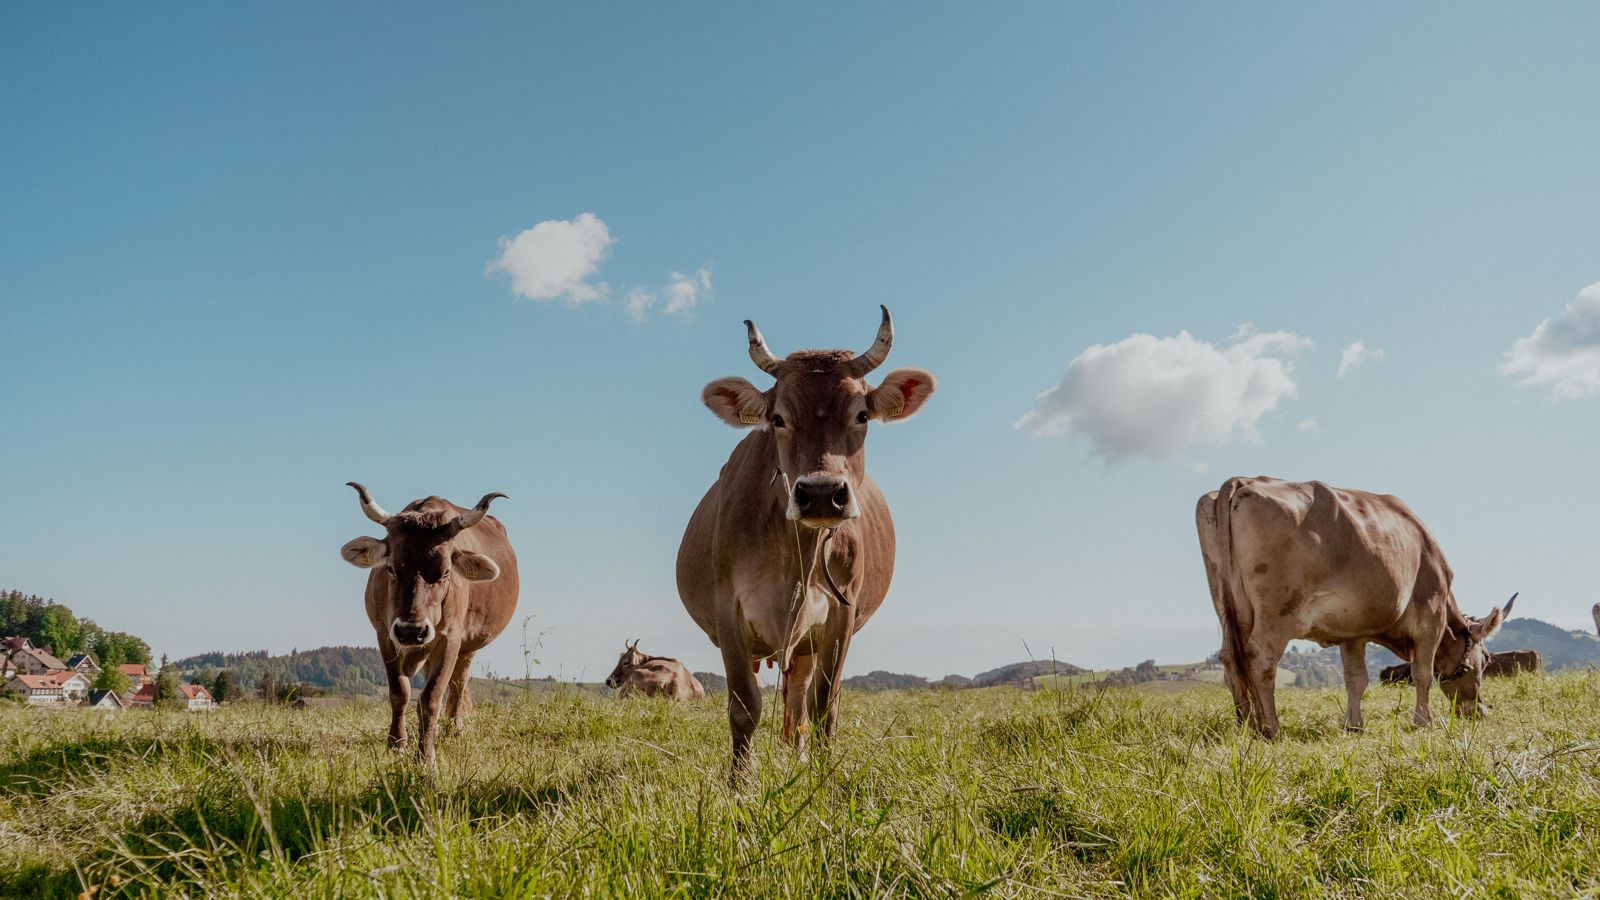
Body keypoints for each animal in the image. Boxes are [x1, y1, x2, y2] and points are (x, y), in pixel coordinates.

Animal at [339, 483, 518, 764]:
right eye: (390, 568)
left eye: (445, 572)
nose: (411, 630)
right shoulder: (385, 635)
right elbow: (400, 692)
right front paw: (397, 744)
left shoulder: (449, 639)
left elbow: (431, 698)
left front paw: (425, 756)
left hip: (468, 647)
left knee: (458, 685)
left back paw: (454, 730)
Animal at [677, 306, 937, 772]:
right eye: (778, 418)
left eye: (862, 415)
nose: (820, 493)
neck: (794, 557)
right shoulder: (729, 611)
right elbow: (744, 707)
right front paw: (740, 782)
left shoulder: (841, 615)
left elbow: (822, 705)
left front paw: (820, 775)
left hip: (805, 646)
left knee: (797, 699)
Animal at [1196, 476, 1515, 738]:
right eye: (1486, 659)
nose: (1480, 711)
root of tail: (1243, 480)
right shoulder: (1431, 617)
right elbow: (1422, 674)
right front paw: (1425, 721)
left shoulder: (1352, 631)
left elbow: (1355, 679)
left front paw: (1354, 725)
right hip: (1277, 612)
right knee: (1261, 659)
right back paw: (1271, 729)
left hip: (1228, 606)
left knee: (1229, 659)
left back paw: (1246, 724)